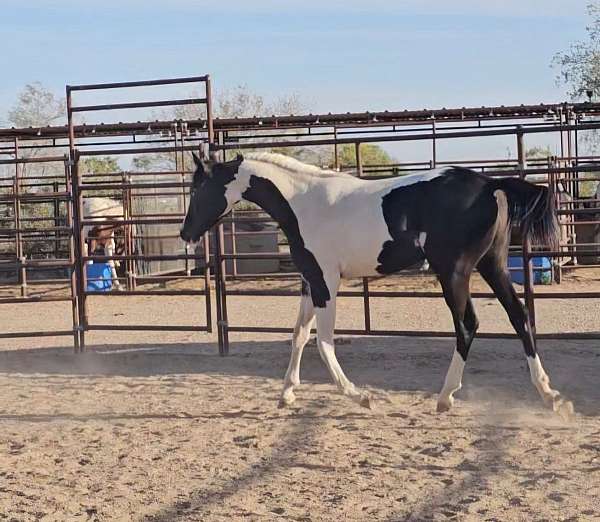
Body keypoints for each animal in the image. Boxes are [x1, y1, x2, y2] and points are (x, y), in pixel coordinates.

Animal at [180, 150, 576, 414]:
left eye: (197, 190)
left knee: (467, 326)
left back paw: (445, 397)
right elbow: (299, 335)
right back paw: (550, 395)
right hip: (492, 265)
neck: (304, 202)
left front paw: (360, 395)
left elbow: (323, 343)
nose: (185, 234)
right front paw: (287, 393)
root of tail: (490, 185)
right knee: (520, 317)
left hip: (454, 272)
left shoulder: (326, 282)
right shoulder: (310, 281)